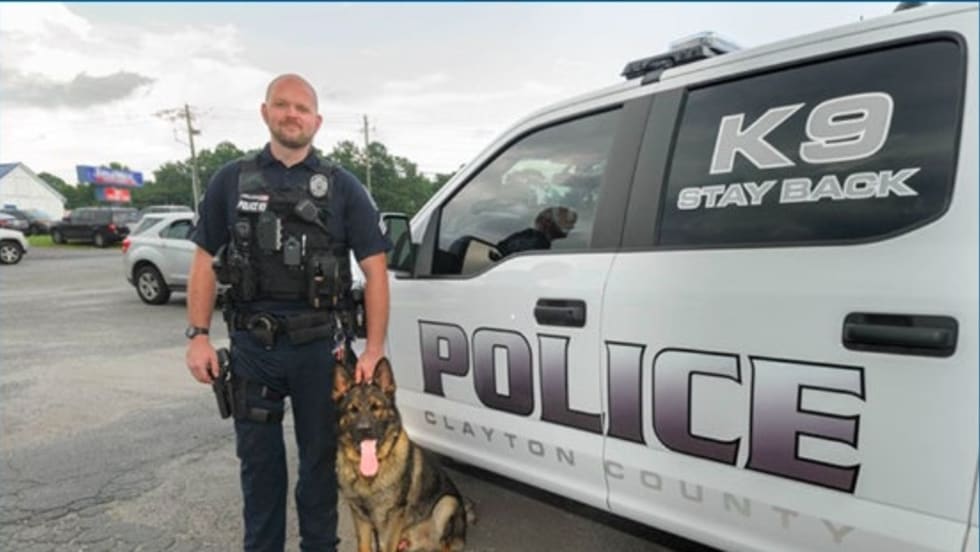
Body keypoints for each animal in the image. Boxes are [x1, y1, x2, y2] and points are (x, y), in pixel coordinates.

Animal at [333, 358, 470, 552]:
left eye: (376, 407)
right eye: (353, 410)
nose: (364, 430)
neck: (370, 476)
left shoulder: (392, 519)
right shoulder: (360, 517)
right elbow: (364, 546)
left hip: (447, 503)